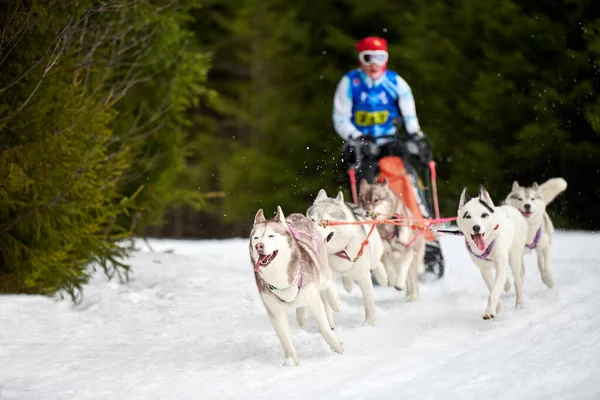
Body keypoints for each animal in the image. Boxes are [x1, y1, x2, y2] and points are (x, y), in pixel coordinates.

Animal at [248, 206, 342, 366]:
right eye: (256, 238)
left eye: (271, 236)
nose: (259, 246)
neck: (278, 276)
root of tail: (297, 216)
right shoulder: (275, 313)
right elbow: (285, 340)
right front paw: (291, 362)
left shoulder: (314, 300)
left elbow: (325, 327)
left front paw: (336, 346)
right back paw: (301, 315)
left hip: (321, 270)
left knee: (327, 279)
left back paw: (334, 301)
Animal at [304, 190, 390, 324]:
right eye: (312, 220)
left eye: (326, 222)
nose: (311, 235)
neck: (339, 251)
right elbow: (329, 288)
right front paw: (335, 303)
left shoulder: (364, 276)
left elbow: (369, 302)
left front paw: (369, 324)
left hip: (374, 253)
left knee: (376, 263)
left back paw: (383, 278)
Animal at [458, 186, 528, 320]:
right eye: (467, 216)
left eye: (484, 215)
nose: (476, 227)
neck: (487, 242)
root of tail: (512, 209)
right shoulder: (484, 269)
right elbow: (492, 287)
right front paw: (497, 308)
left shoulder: (500, 262)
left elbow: (495, 290)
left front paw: (490, 310)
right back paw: (507, 285)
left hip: (514, 257)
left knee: (517, 280)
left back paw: (520, 303)